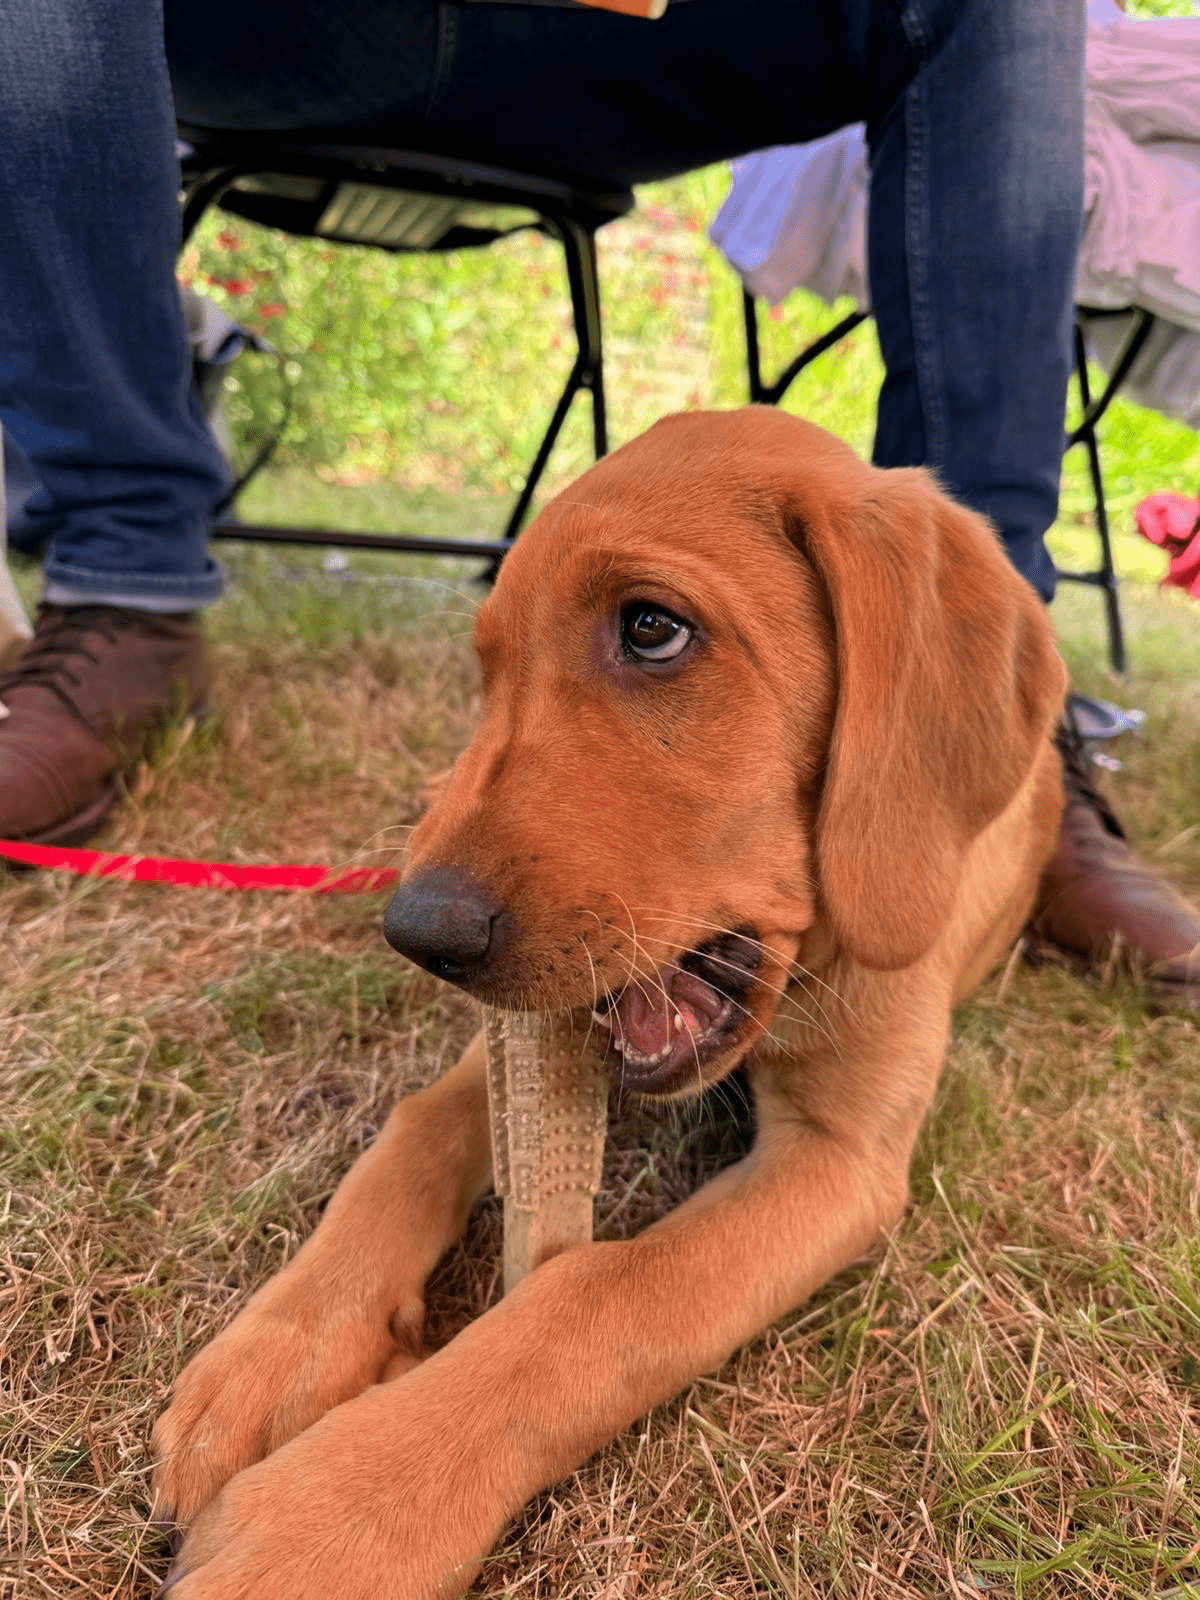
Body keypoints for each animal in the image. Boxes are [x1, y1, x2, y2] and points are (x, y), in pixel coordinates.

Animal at [155, 412, 1068, 1600]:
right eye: (487, 668)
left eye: (651, 627)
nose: (420, 932)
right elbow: (413, 1131)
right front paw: (280, 1351)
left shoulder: (841, 1157)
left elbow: (602, 1294)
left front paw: (338, 1517)